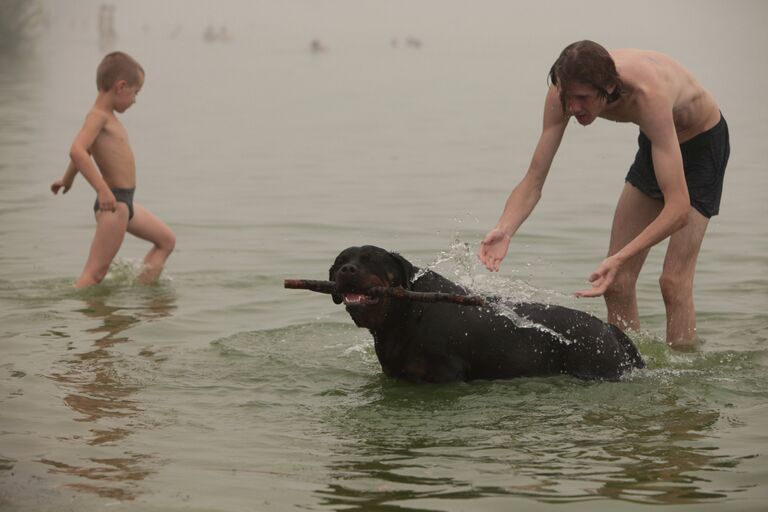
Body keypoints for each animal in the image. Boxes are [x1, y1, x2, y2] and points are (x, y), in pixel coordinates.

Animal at [330, 245, 648, 384]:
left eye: (370, 259)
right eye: (340, 261)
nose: (347, 270)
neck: (403, 314)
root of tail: (610, 330)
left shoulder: (446, 376)